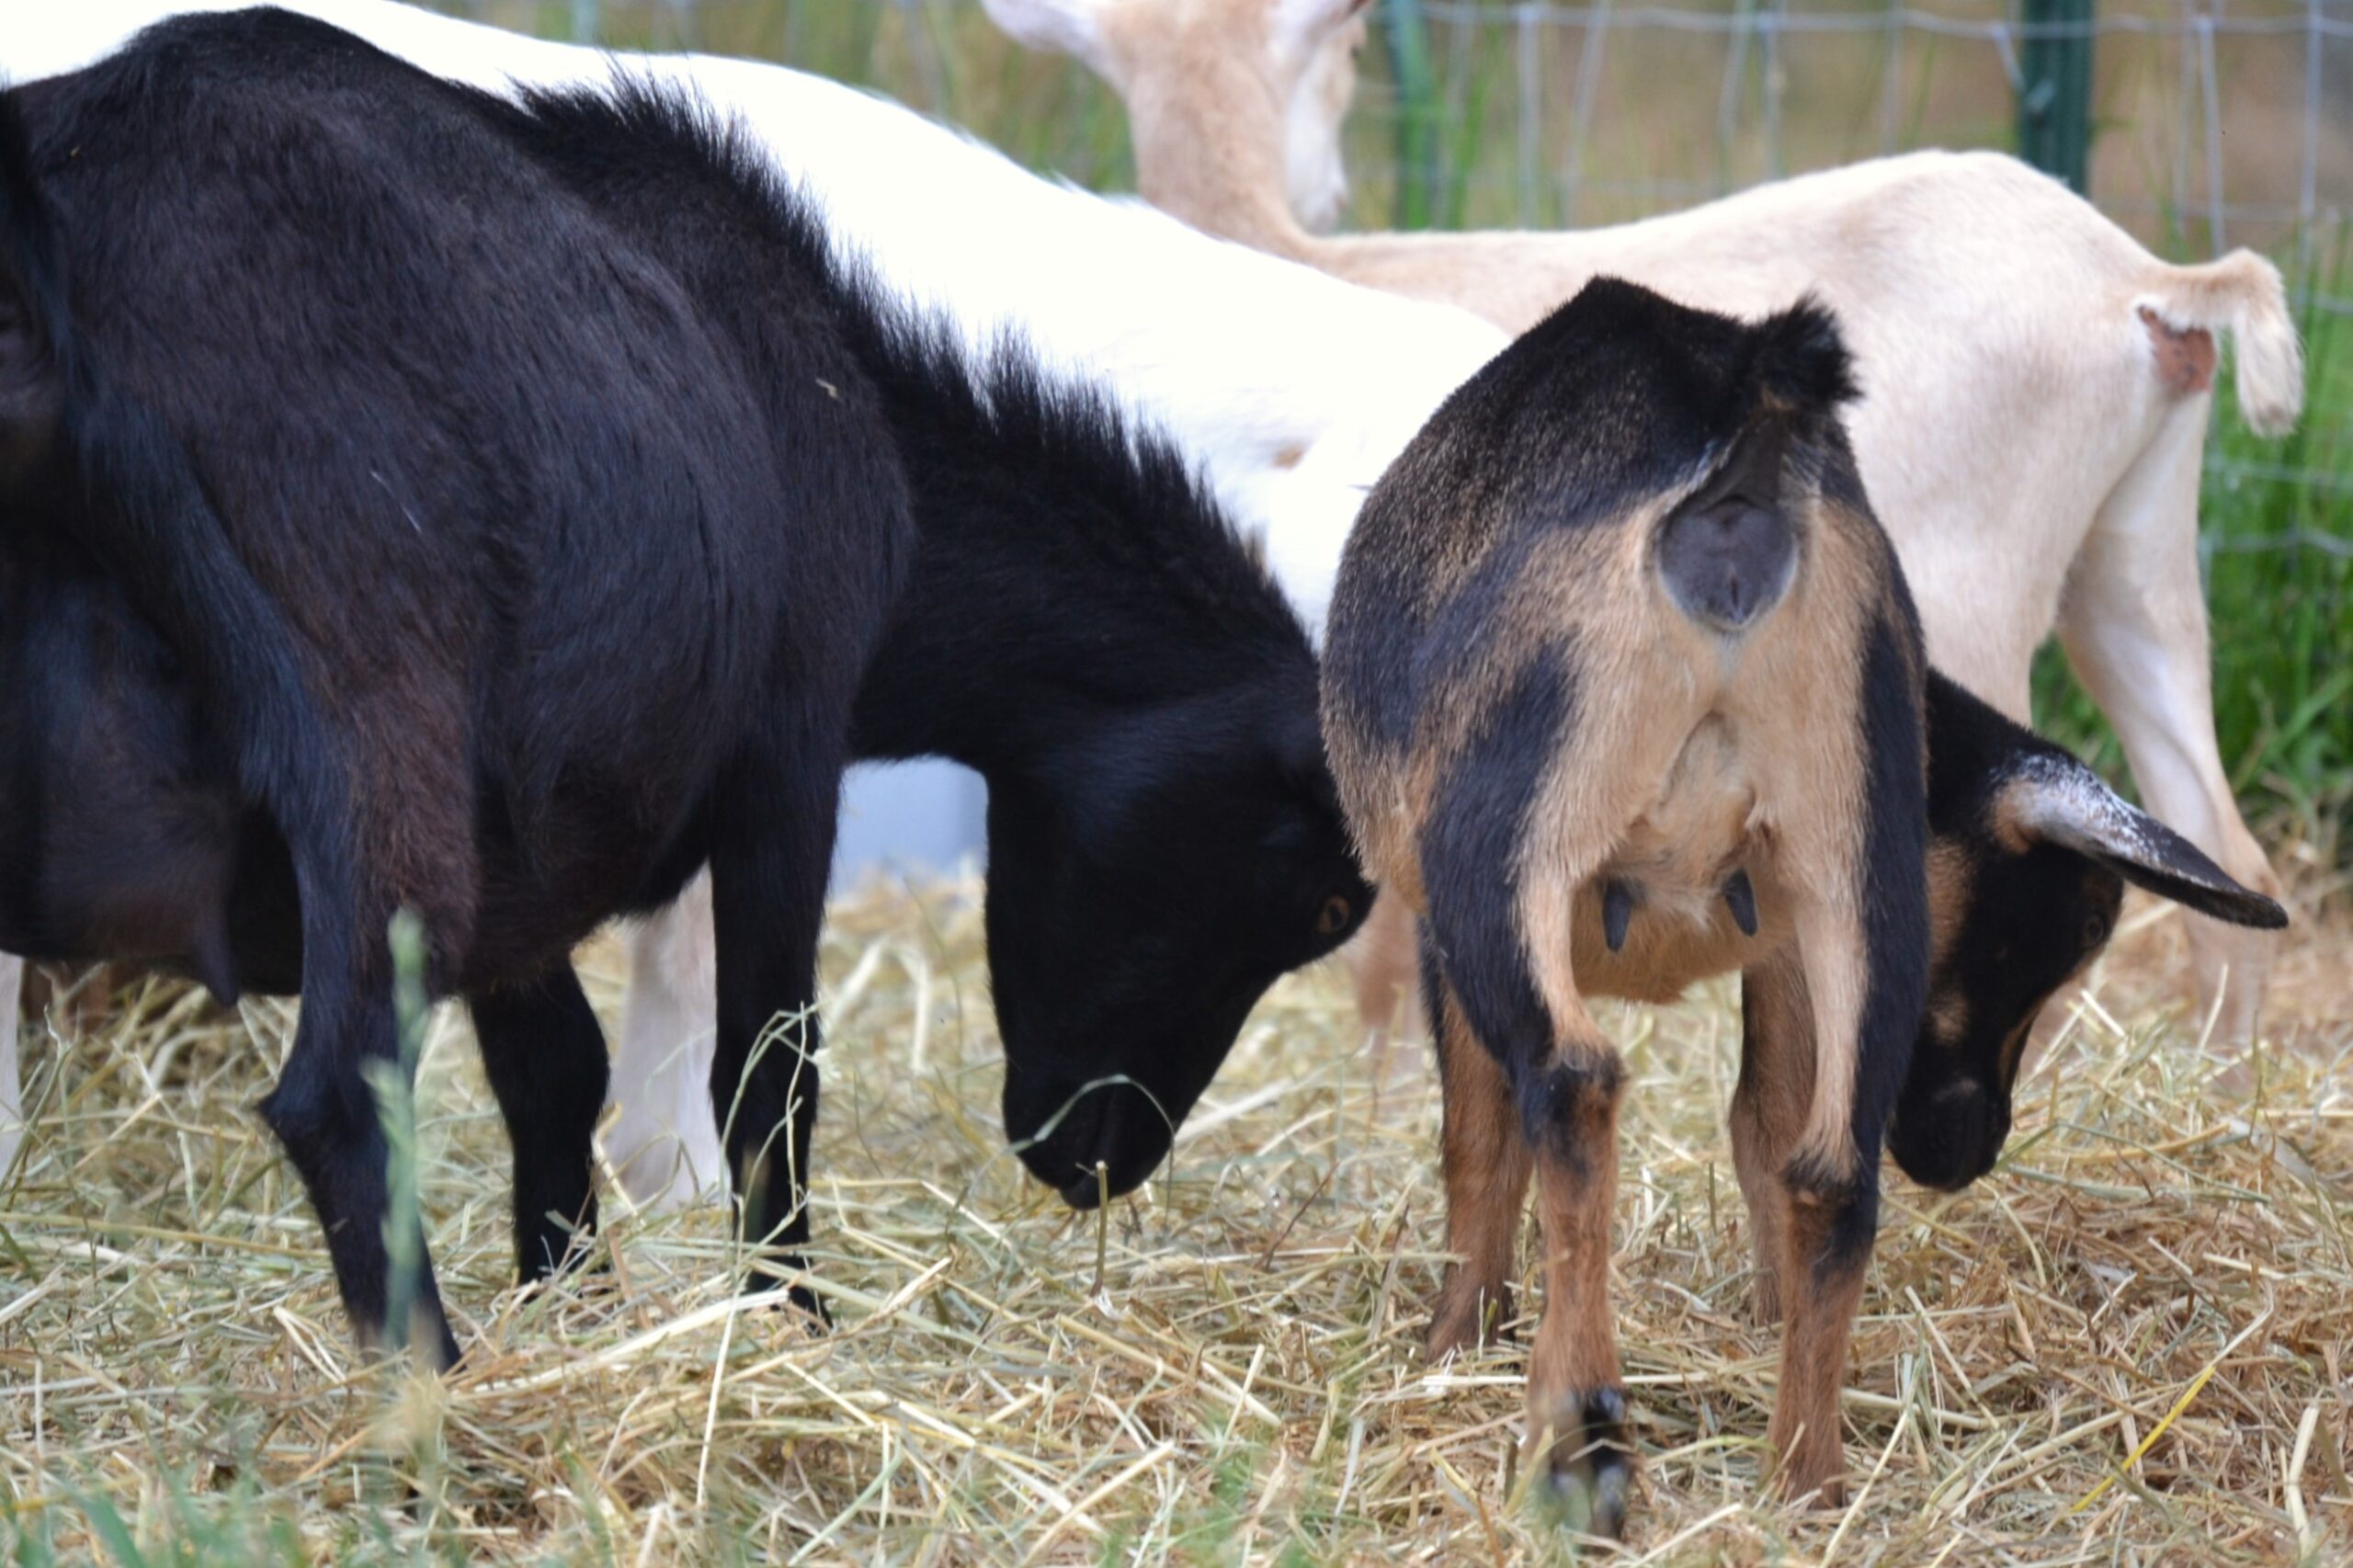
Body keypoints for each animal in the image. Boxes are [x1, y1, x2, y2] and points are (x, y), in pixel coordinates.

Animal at [983, 0, 2305, 1045]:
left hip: (1972, 589)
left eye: (1348, 47)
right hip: (2130, 561)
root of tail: (2144, 281)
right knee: (2222, 854)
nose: (1336, 185)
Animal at [1336, 278, 2287, 1525]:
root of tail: (1743, 430)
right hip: (1853, 875)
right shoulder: (1786, 939)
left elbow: (1476, 1137)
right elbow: (1765, 1125)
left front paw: (1454, 1339)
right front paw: (1763, 1318)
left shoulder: (1446, 923)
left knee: (1574, 1084)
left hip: (1503, 854)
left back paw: (1580, 1440)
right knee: (1832, 1169)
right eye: (2041, 936)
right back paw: (1807, 1475)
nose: (1972, 1148)